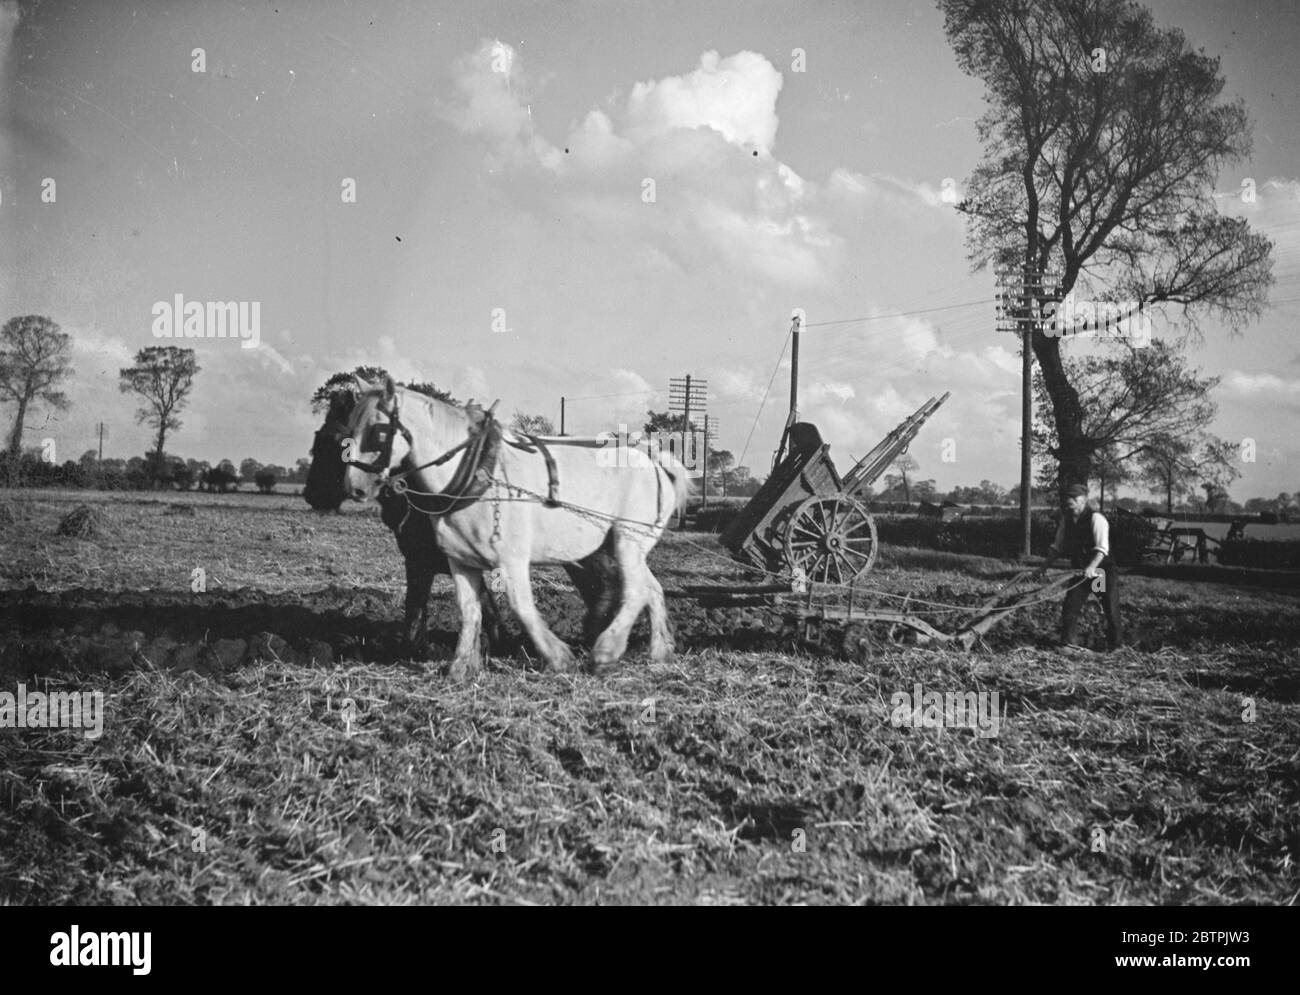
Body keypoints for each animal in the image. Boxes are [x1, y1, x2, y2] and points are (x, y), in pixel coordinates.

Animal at [304, 392, 618, 655]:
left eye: (337, 441)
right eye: (318, 436)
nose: (311, 494)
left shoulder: (420, 561)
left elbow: (415, 610)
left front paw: (413, 650)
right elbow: (483, 606)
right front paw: (498, 644)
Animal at [343, 377, 691, 681]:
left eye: (378, 431)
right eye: (349, 428)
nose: (354, 487)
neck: (475, 473)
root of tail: (655, 463)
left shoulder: (511, 560)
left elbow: (521, 606)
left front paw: (558, 657)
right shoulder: (460, 562)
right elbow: (469, 611)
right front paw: (461, 667)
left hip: (626, 541)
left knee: (635, 592)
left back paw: (606, 651)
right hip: (616, 548)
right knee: (652, 589)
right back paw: (660, 651)